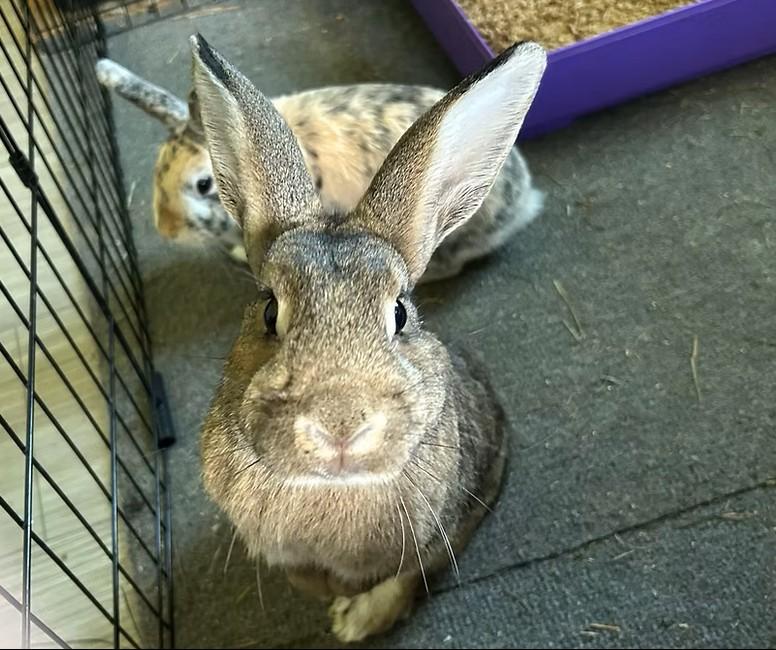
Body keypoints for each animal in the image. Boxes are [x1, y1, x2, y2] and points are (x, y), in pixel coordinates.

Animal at [193, 32, 546, 643]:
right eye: (269, 310)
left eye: (400, 313)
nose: (340, 425)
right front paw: (330, 604)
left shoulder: (428, 543)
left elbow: (402, 581)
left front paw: (355, 623)